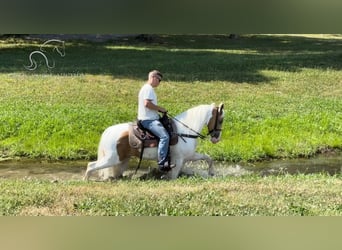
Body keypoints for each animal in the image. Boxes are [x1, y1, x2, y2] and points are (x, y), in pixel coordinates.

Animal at [84, 102, 224, 181]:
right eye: (221, 119)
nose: (216, 138)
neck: (185, 130)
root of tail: (108, 131)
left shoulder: (188, 156)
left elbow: (208, 157)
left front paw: (211, 172)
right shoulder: (179, 159)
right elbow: (174, 176)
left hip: (121, 160)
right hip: (112, 159)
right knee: (91, 165)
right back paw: (85, 180)